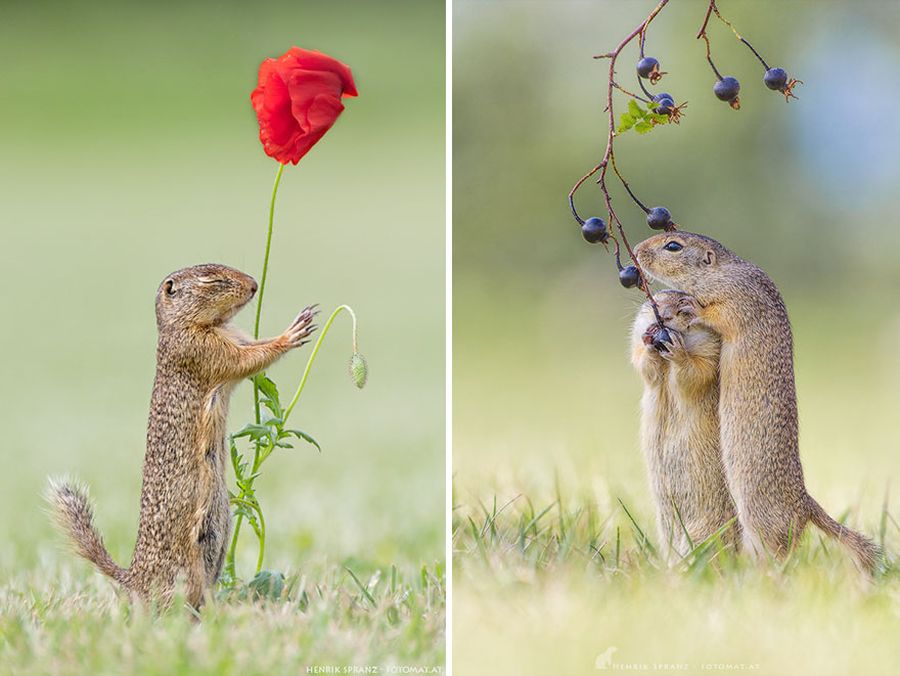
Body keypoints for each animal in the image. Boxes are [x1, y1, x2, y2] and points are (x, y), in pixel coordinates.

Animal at [48, 263, 317, 608]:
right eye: (213, 279)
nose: (255, 285)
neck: (190, 326)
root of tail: (132, 576)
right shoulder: (201, 350)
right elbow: (247, 360)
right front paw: (292, 333)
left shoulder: (236, 338)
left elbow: (254, 349)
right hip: (184, 575)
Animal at [631, 289, 739, 559]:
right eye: (655, 299)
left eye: (685, 309)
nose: (662, 317)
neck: (665, 362)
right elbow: (642, 363)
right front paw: (649, 342)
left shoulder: (711, 349)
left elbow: (696, 372)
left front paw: (677, 352)